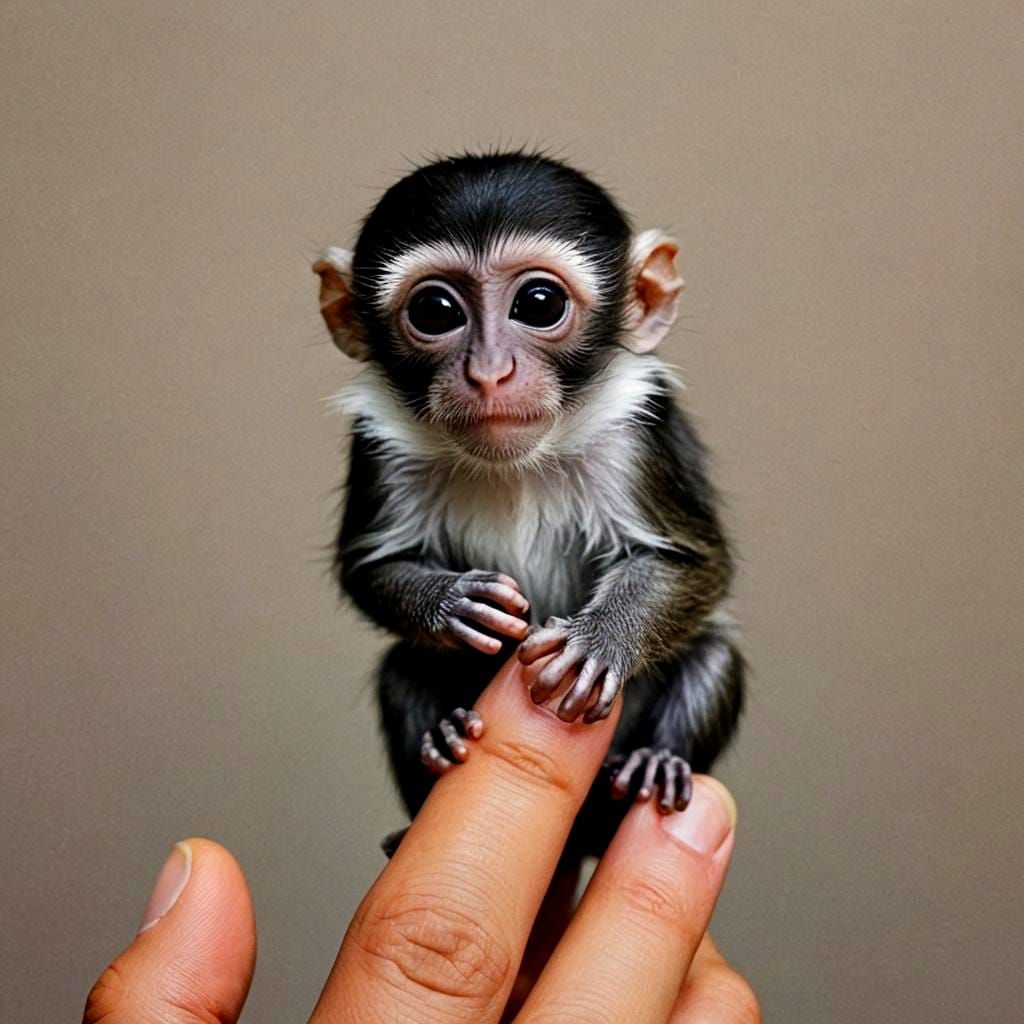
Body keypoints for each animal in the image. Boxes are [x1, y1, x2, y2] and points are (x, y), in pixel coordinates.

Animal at [314, 151, 744, 856]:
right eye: (435, 310)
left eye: (539, 303)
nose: (489, 372)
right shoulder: (379, 440)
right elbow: (368, 567)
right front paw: (449, 604)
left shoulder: (635, 430)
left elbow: (694, 562)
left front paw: (599, 642)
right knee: (400, 668)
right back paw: (441, 741)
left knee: (715, 656)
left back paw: (658, 763)